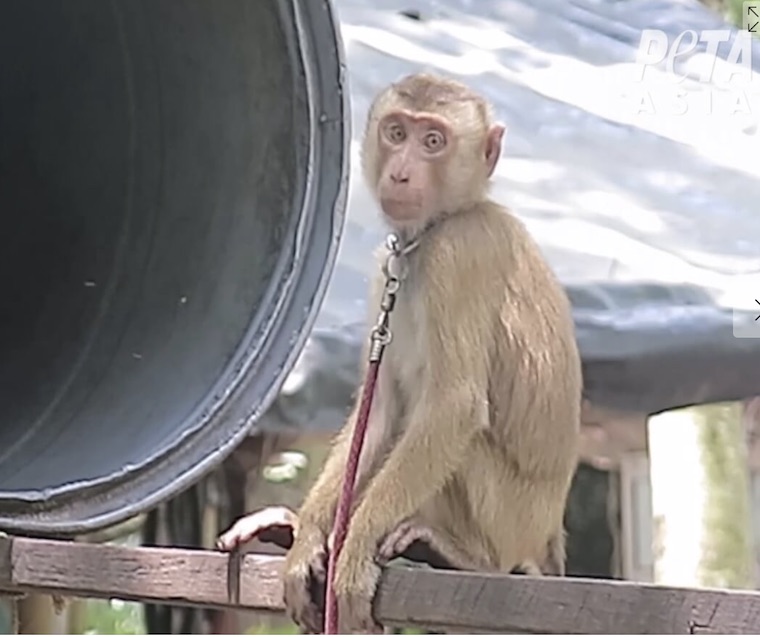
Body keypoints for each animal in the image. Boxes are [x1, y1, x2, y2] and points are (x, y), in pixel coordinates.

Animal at [220, 72, 581, 634]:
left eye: (433, 141)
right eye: (396, 132)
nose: (402, 172)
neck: (434, 230)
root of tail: (548, 543)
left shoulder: (459, 256)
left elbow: (454, 407)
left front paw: (354, 551)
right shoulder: (382, 269)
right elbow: (380, 414)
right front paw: (308, 541)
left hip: (512, 520)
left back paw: (459, 556)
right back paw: (288, 527)